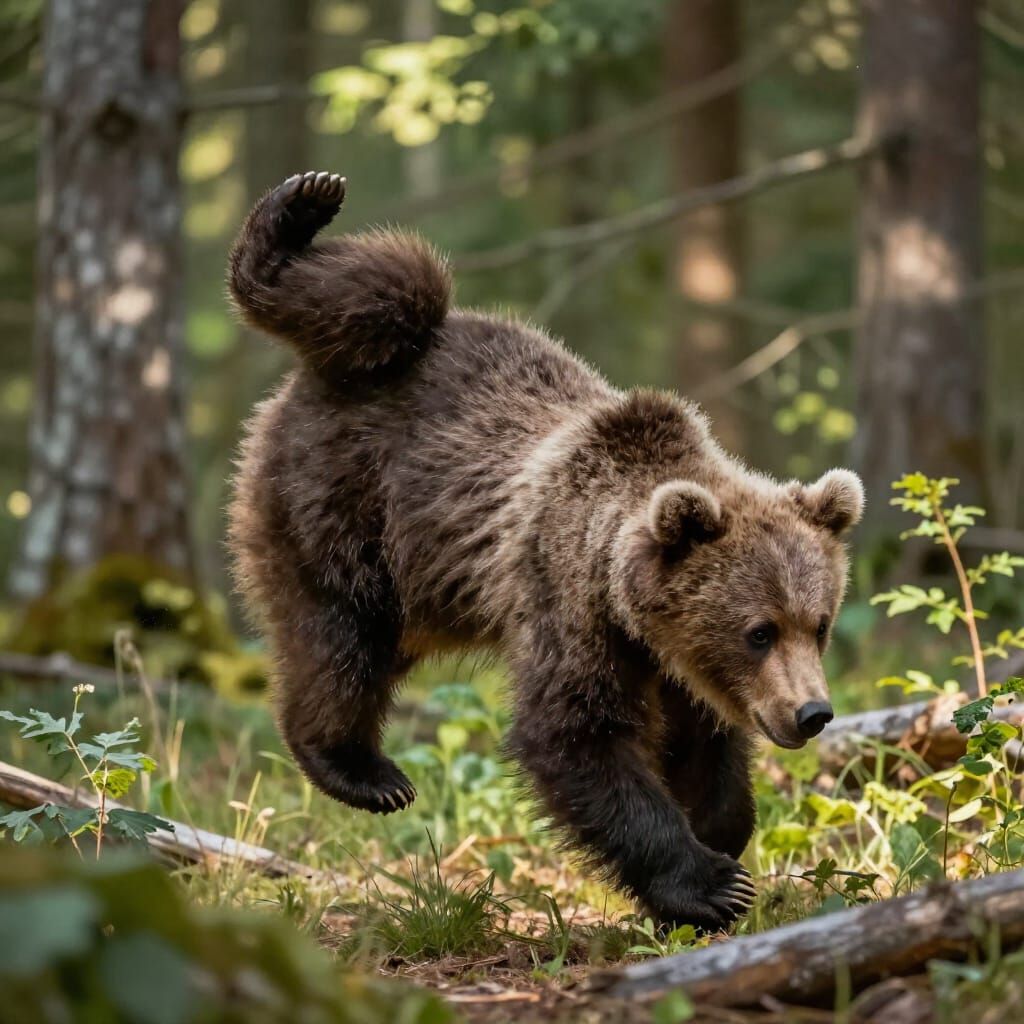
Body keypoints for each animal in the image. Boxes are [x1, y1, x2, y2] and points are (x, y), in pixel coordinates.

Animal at [226, 170, 864, 932]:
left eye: (818, 625)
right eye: (759, 631)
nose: (813, 713)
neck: (635, 612)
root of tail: (322, 378)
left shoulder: (674, 663)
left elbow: (703, 745)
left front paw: (722, 837)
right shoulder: (568, 598)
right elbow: (574, 736)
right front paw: (707, 884)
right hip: (345, 510)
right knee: (341, 634)